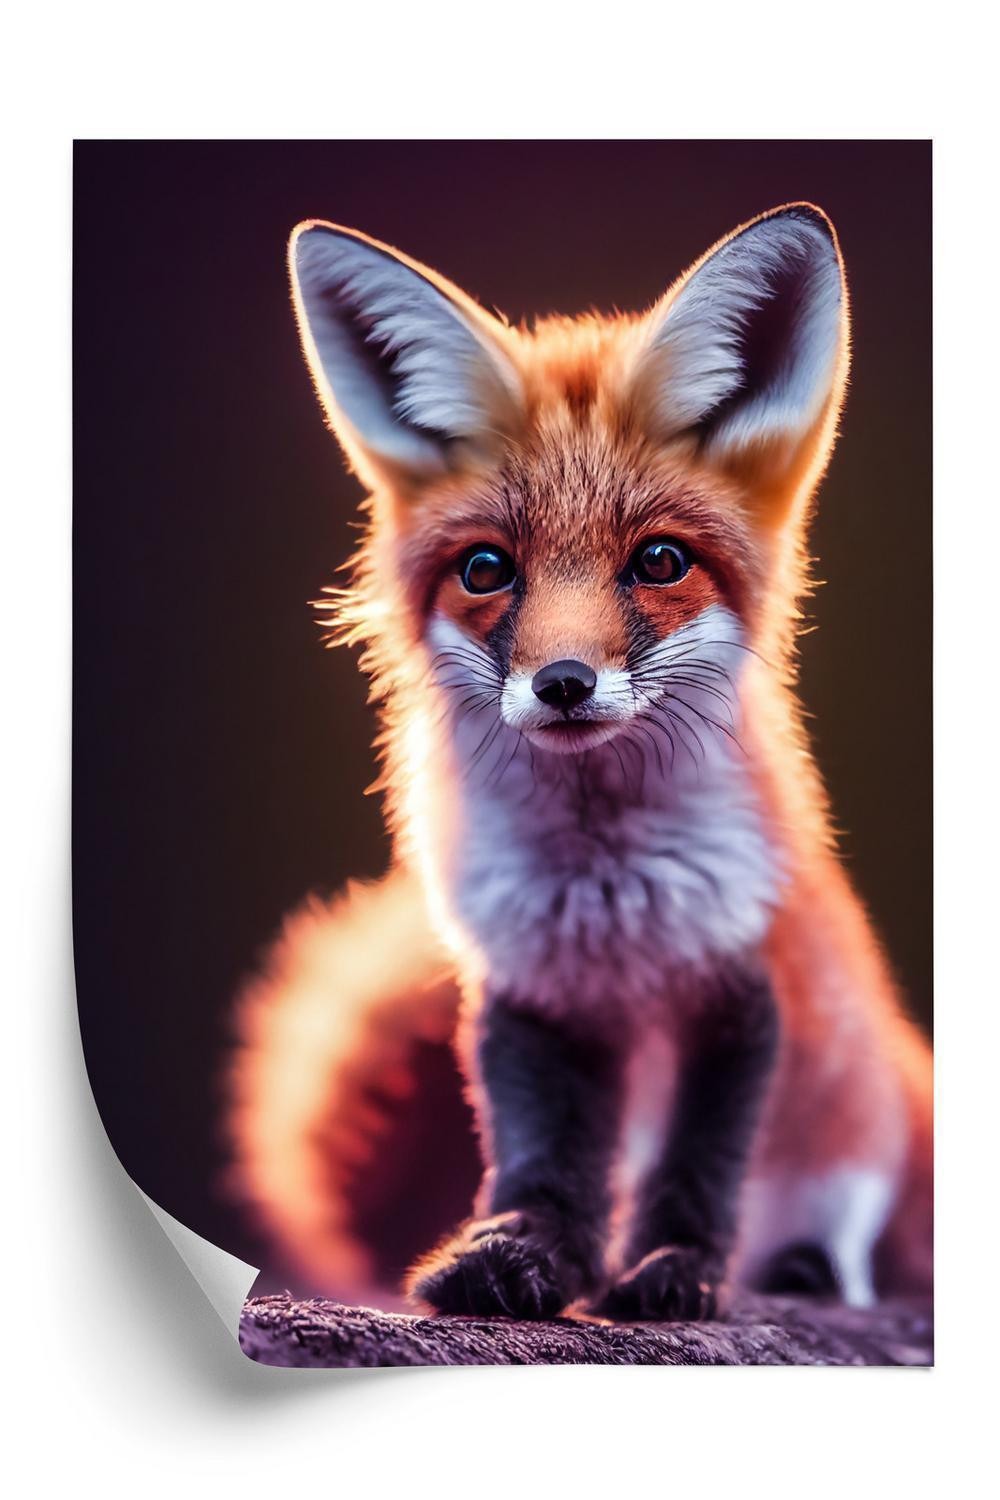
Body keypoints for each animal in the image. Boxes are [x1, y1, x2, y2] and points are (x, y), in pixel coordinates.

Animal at [228, 203, 932, 1321]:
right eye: (485, 570)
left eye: (659, 561)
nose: (562, 683)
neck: (604, 890)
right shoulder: (532, 990)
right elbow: (544, 1159)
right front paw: (524, 1259)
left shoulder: (739, 983)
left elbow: (698, 1163)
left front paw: (675, 1273)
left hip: (859, 1129)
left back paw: (803, 1272)